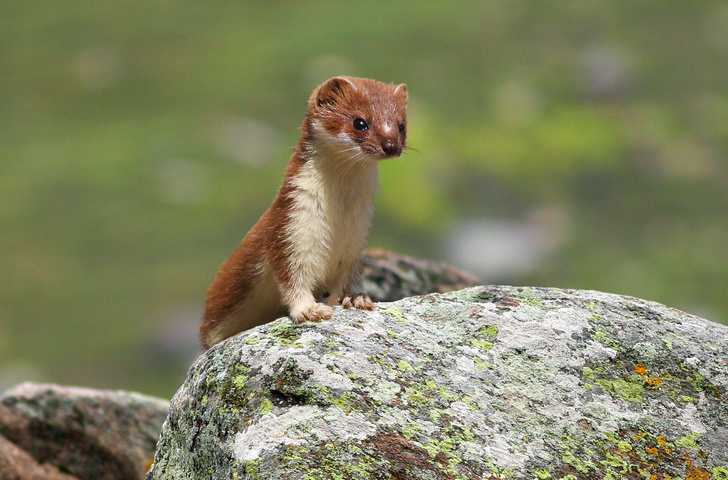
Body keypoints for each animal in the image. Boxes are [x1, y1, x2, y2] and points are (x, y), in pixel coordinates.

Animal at [199, 77, 406, 350]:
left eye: (401, 125)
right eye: (360, 122)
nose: (391, 146)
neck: (340, 213)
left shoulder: (359, 233)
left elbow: (352, 274)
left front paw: (357, 298)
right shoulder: (290, 224)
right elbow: (292, 276)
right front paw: (310, 310)